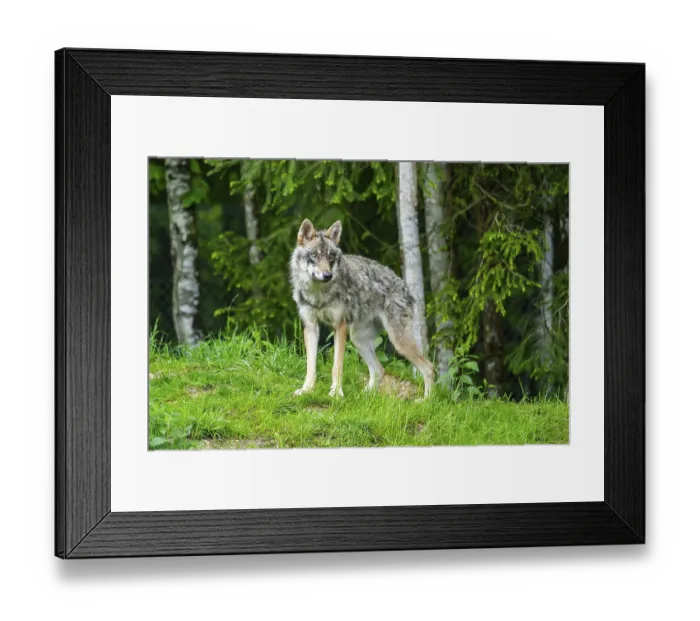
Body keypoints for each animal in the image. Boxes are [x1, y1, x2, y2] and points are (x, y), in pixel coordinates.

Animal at [289, 218, 435, 399]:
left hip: (398, 343)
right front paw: (306, 390)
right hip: (358, 339)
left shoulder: (340, 326)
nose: (328, 275)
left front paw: (336, 393)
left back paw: (426, 401)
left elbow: (337, 366)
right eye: (314, 255)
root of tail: (406, 287)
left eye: (331, 256)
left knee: (429, 368)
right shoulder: (310, 326)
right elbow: (311, 366)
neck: (319, 293)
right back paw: (365, 396)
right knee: (379, 370)